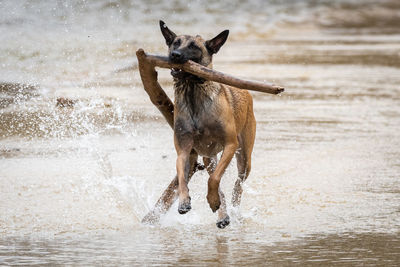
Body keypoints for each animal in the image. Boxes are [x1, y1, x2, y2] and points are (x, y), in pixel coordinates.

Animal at [142, 21, 256, 230]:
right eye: (175, 42)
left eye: (194, 46)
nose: (174, 55)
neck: (193, 91)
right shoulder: (184, 150)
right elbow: (182, 177)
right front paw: (184, 201)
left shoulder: (230, 144)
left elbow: (214, 179)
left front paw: (212, 200)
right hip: (209, 158)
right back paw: (223, 215)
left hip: (244, 157)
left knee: (237, 185)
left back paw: (232, 210)